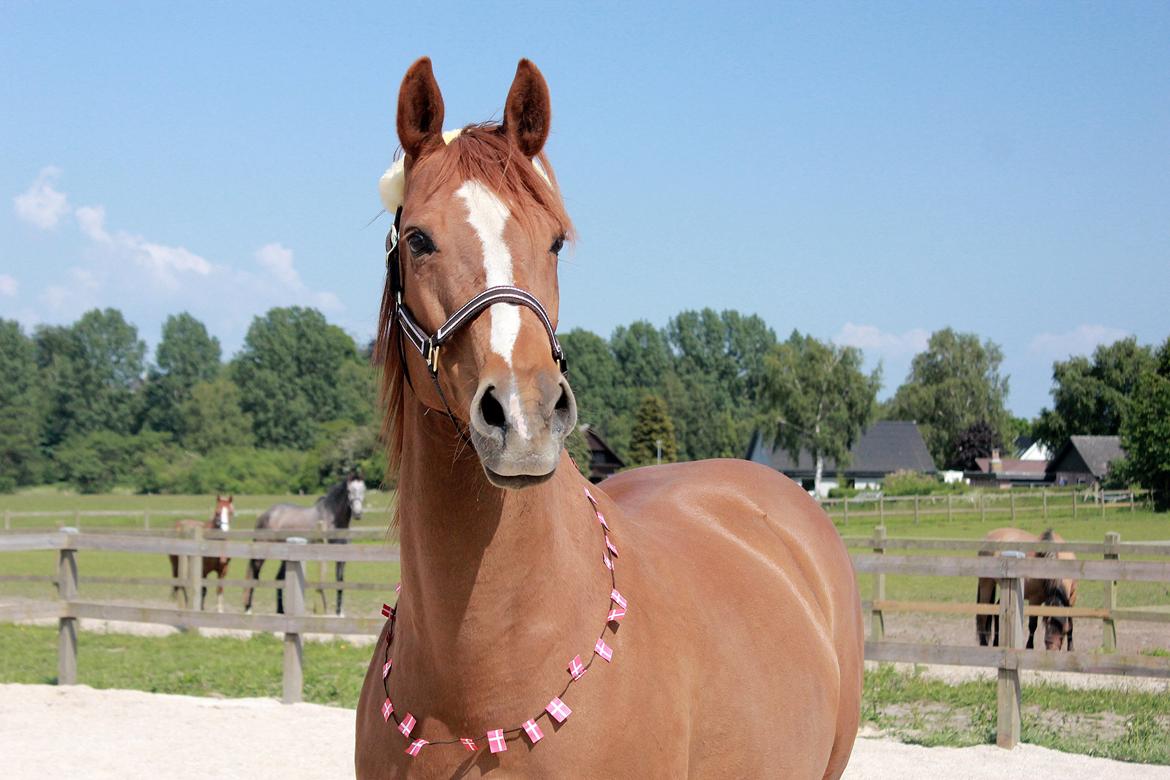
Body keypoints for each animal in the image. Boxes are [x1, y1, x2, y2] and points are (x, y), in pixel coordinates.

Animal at [239, 477, 362, 617]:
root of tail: (264, 515)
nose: (358, 513)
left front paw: (339, 612)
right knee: (254, 575)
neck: (331, 517)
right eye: (349, 490)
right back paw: (248, 608)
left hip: (285, 558)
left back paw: (281, 611)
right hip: (261, 554)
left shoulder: (341, 557)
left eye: (363, 489)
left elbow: (340, 580)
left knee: (278, 578)